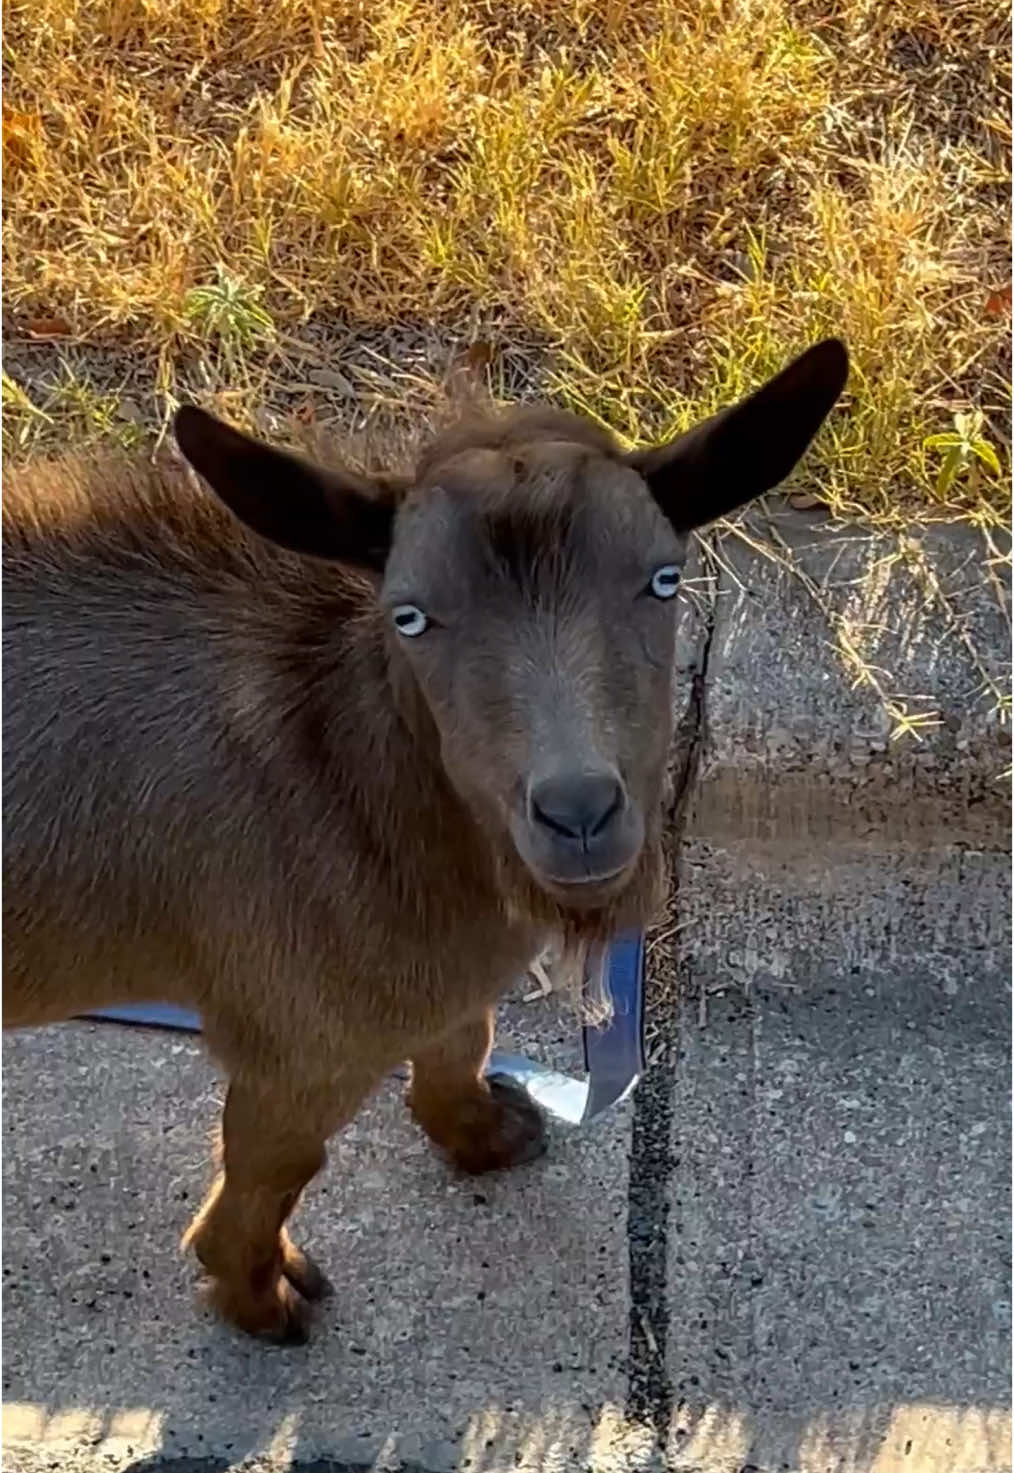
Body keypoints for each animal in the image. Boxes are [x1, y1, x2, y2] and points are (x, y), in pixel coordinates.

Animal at [3, 338, 848, 1343]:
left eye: (664, 579)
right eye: (409, 614)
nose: (578, 814)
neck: (347, 775)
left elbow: (464, 1034)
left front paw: (482, 1132)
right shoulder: (300, 1041)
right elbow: (273, 1173)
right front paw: (257, 1298)